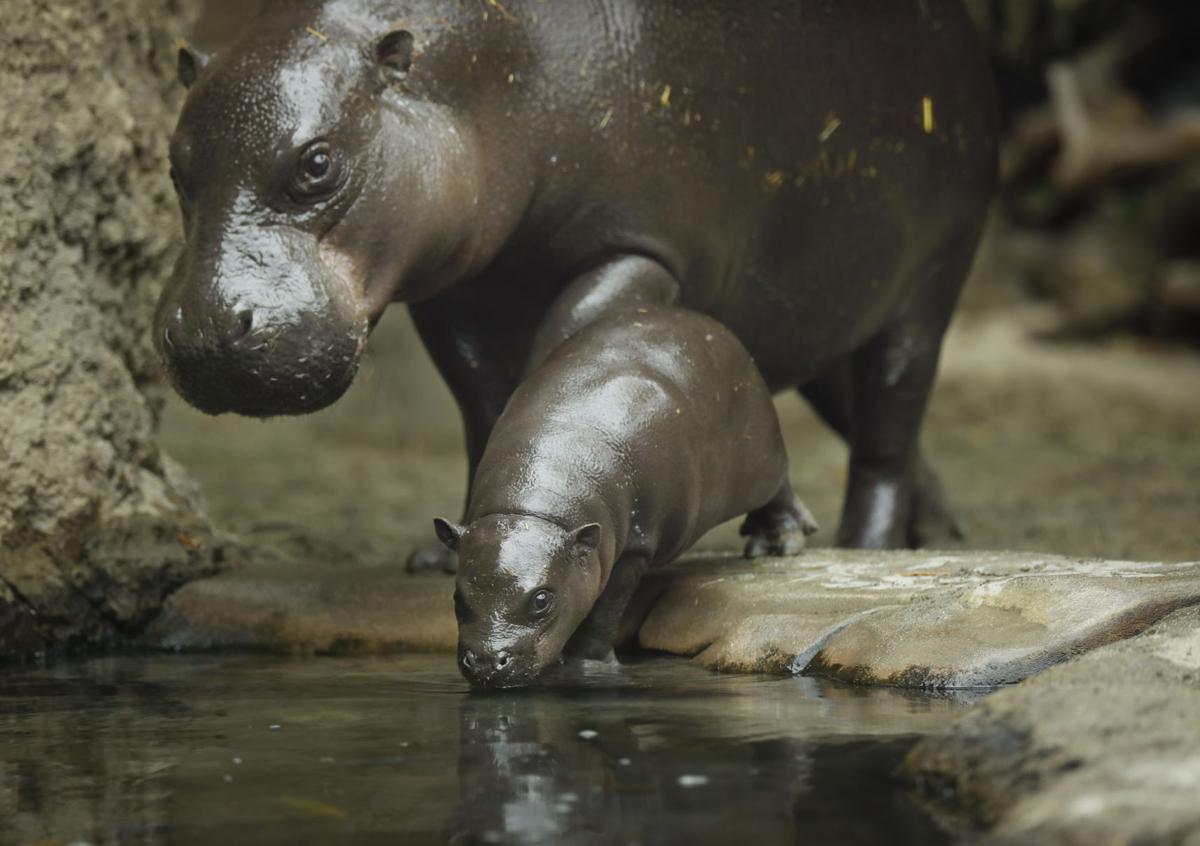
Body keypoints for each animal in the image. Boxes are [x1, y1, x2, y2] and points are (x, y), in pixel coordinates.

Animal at [156, 0, 998, 563]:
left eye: (317, 162)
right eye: (173, 163)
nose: (206, 331)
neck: (476, 73)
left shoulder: (640, 253)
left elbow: (559, 349)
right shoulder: (458, 294)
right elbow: (481, 403)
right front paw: (450, 549)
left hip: (933, 275)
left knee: (890, 419)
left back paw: (869, 546)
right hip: (816, 309)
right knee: (842, 404)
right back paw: (927, 526)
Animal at [434, 306, 816, 687]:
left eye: (541, 600)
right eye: (456, 596)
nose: (486, 662)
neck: (533, 511)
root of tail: (702, 320)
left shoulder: (634, 546)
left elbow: (604, 613)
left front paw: (585, 669)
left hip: (761, 456)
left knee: (779, 489)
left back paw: (777, 544)